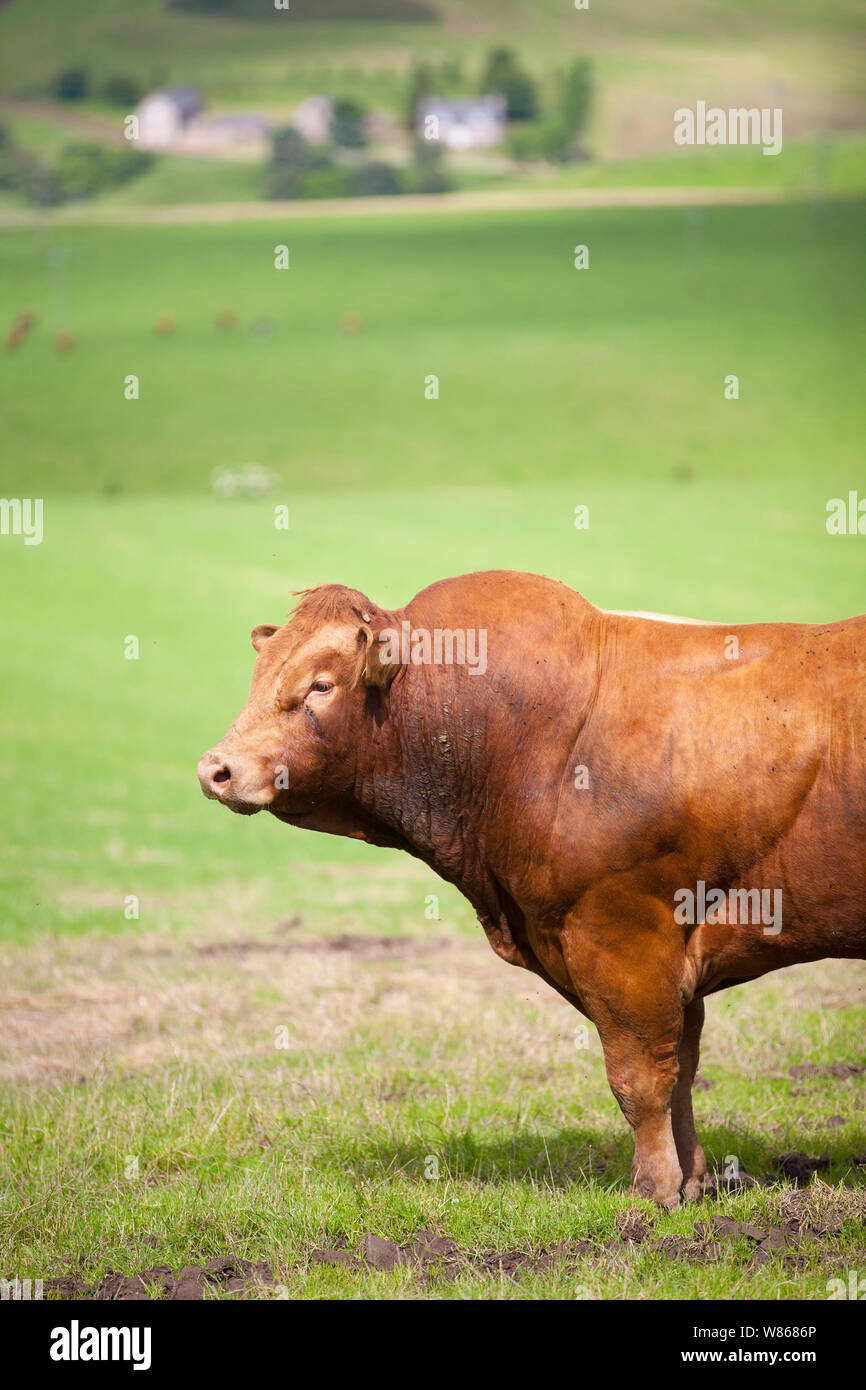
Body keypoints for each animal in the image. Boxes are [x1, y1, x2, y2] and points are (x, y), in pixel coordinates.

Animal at [198, 572, 866, 1206]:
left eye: (320, 685)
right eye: (261, 673)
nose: (216, 769)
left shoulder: (624, 936)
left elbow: (641, 1077)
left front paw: (653, 1191)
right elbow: (681, 1070)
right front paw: (694, 1181)